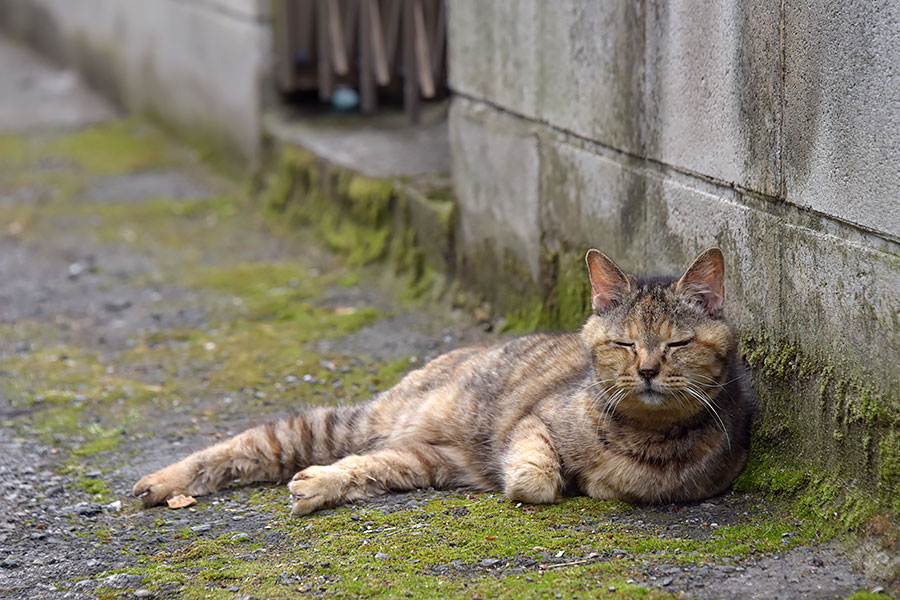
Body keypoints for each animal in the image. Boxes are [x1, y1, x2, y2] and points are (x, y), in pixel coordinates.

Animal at [134, 246, 752, 512]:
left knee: (356, 469)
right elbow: (533, 473)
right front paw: (537, 477)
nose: (647, 370)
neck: (641, 434)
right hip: (344, 425)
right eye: (624, 344)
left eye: (676, 345)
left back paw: (316, 486)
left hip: (417, 462)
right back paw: (161, 483)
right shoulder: (533, 421)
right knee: (247, 445)